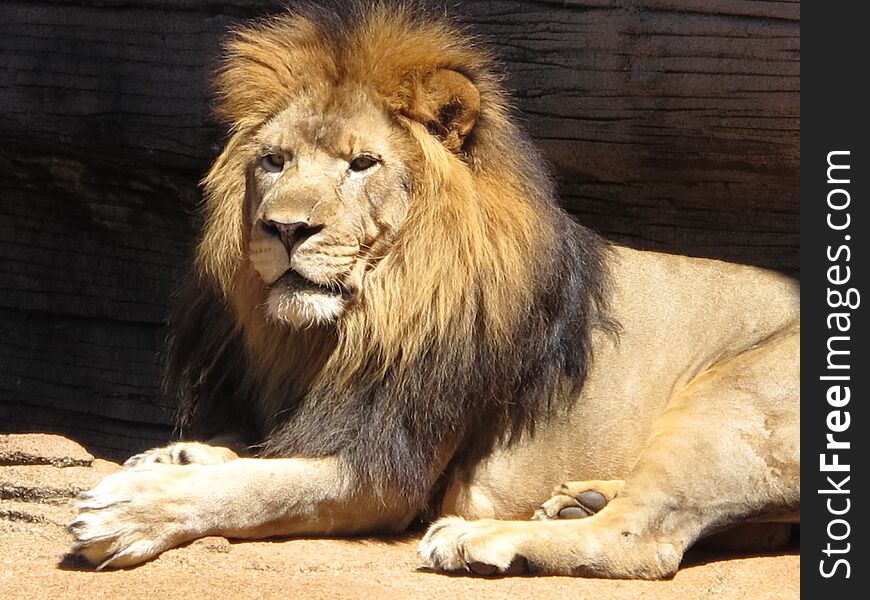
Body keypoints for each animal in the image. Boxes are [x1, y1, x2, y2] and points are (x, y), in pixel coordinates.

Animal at [70, 2, 804, 580]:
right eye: (274, 161)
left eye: (362, 164)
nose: (284, 228)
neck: (362, 317)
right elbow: (257, 455)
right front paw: (177, 454)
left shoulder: (386, 473)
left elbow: (262, 487)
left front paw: (134, 508)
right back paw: (580, 497)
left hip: (732, 397)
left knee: (643, 541)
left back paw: (482, 538)